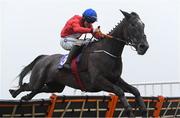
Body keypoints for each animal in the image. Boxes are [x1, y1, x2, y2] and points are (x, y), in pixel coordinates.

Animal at [9, 10, 148, 117]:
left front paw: (143, 109)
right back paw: (14, 92)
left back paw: (23, 96)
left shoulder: (115, 79)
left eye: (143, 25)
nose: (144, 47)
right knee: (28, 85)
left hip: (55, 86)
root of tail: (44, 58)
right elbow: (119, 91)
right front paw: (129, 111)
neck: (108, 51)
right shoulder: (98, 80)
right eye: (133, 25)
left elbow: (135, 90)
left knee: (37, 90)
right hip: (38, 80)